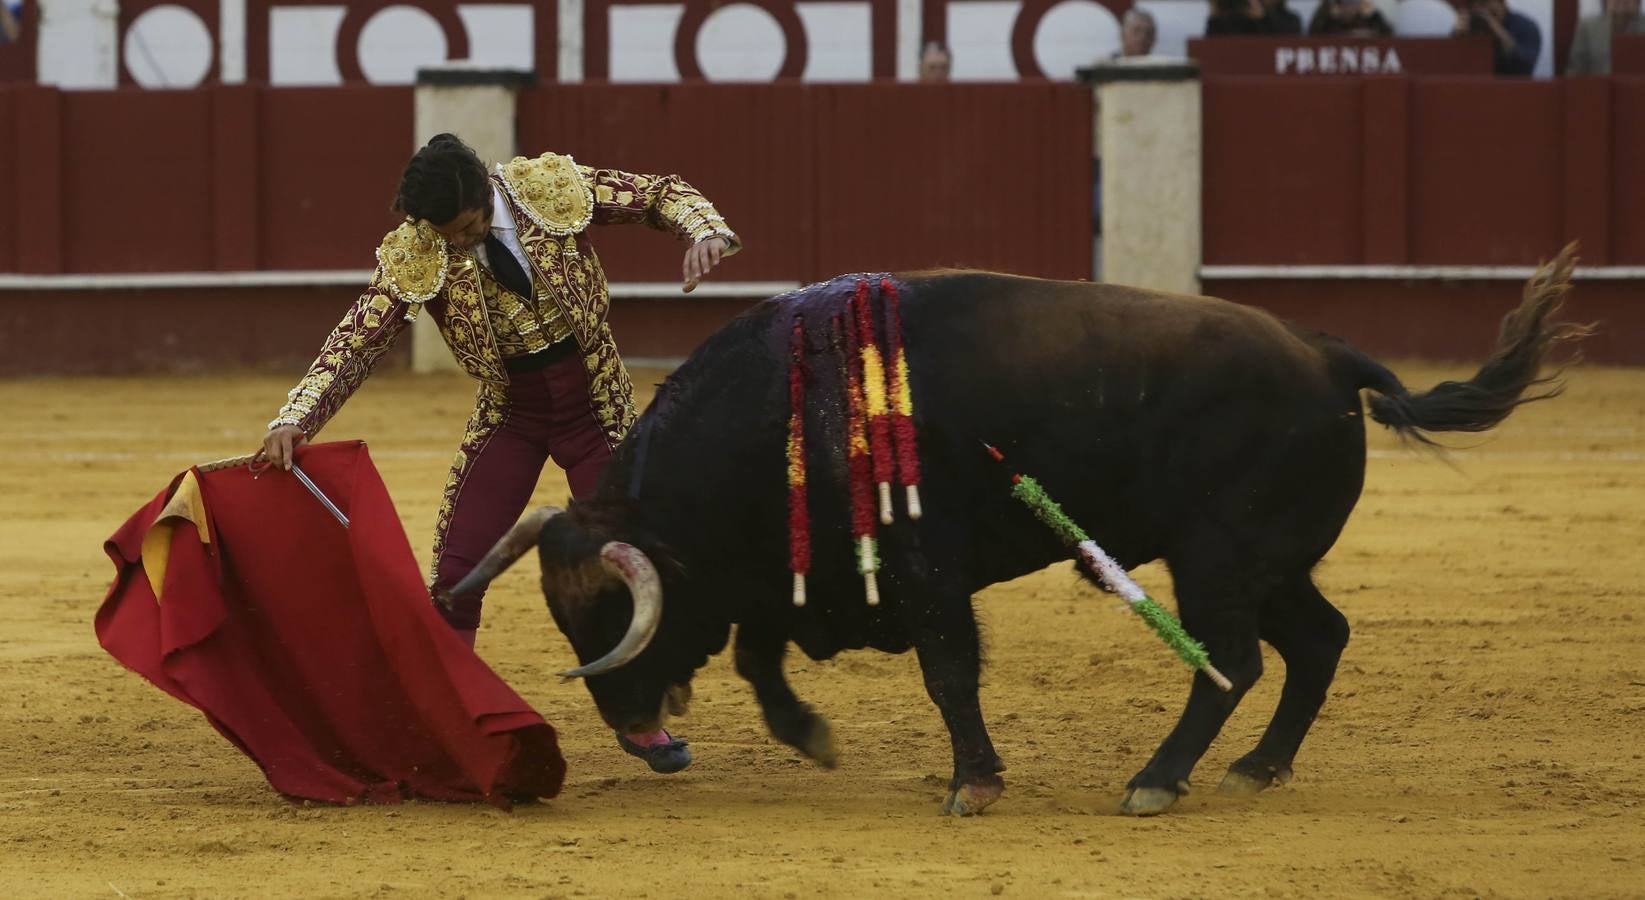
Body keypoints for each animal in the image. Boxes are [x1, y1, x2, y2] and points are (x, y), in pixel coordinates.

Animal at [444, 248, 1585, 816]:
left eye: (615, 618)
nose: (632, 727)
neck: (788, 406)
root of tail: (1327, 352)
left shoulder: (924, 569)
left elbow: (949, 670)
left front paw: (974, 783)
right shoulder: (790, 577)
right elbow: (764, 663)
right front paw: (812, 736)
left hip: (1218, 559)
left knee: (1236, 658)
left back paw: (1156, 780)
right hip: (1264, 561)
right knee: (1316, 641)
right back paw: (1254, 771)